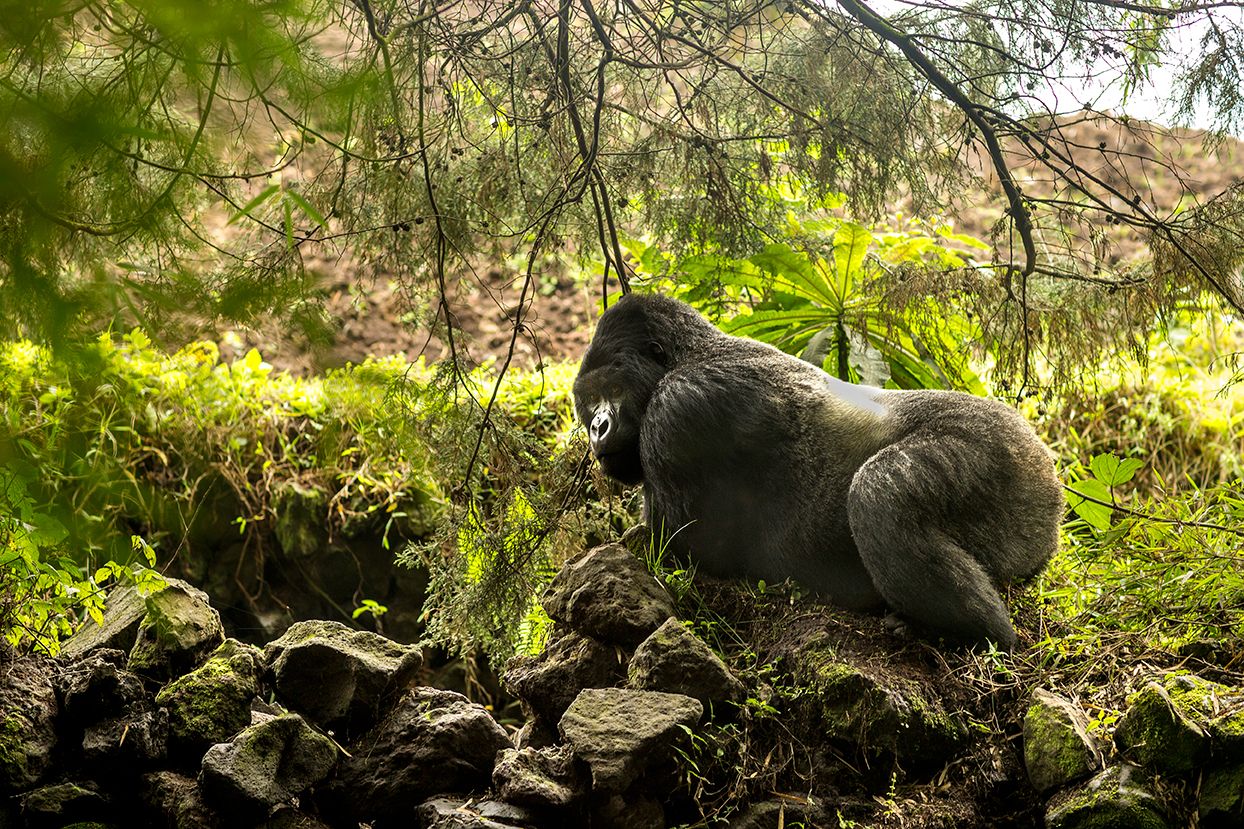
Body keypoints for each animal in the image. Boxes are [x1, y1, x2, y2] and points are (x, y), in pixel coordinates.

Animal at [572, 293, 1064, 650]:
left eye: (611, 389)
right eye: (588, 401)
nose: (597, 427)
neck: (690, 355)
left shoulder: (680, 408)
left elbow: (678, 546)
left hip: (1006, 453)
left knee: (879, 493)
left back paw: (972, 632)